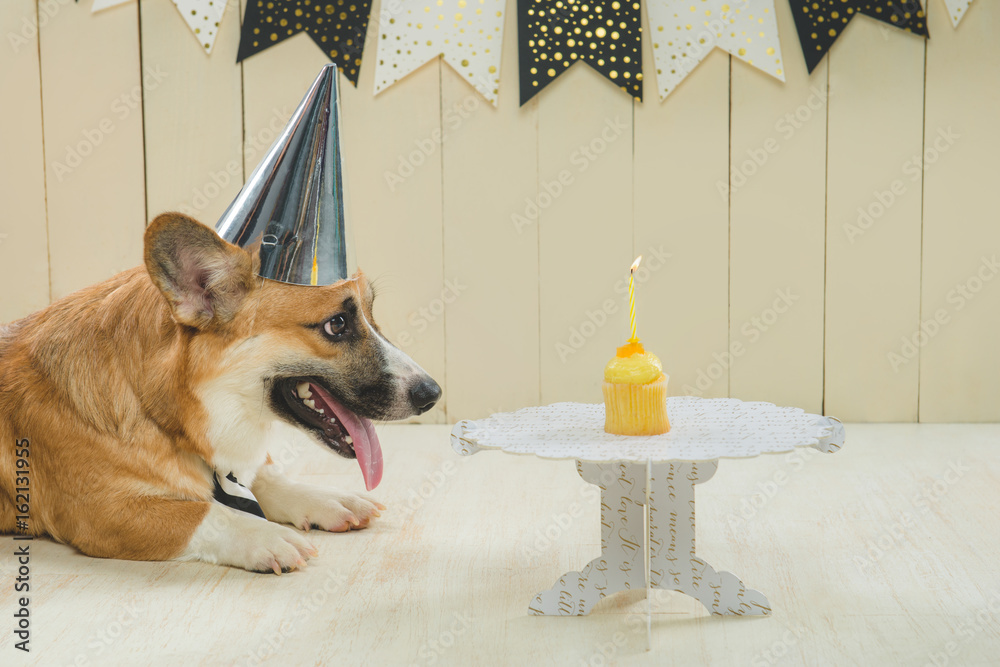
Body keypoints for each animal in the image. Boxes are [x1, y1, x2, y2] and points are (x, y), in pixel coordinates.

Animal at [0, 214, 442, 576]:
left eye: (371, 312)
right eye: (337, 324)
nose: (432, 393)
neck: (160, 410)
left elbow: (265, 477)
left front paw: (326, 499)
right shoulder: (105, 514)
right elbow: (203, 512)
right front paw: (264, 535)